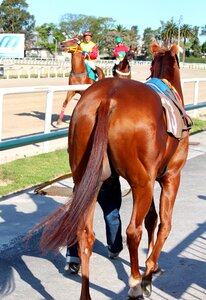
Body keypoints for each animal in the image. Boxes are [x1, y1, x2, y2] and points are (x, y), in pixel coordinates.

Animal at [31, 42, 190, 300]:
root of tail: (108, 98)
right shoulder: (170, 177)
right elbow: (164, 224)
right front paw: (148, 275)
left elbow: (152, 219)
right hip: (141, 183)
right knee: (133, 231)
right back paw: (135, 283)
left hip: (89, 178)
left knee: (85, 233)